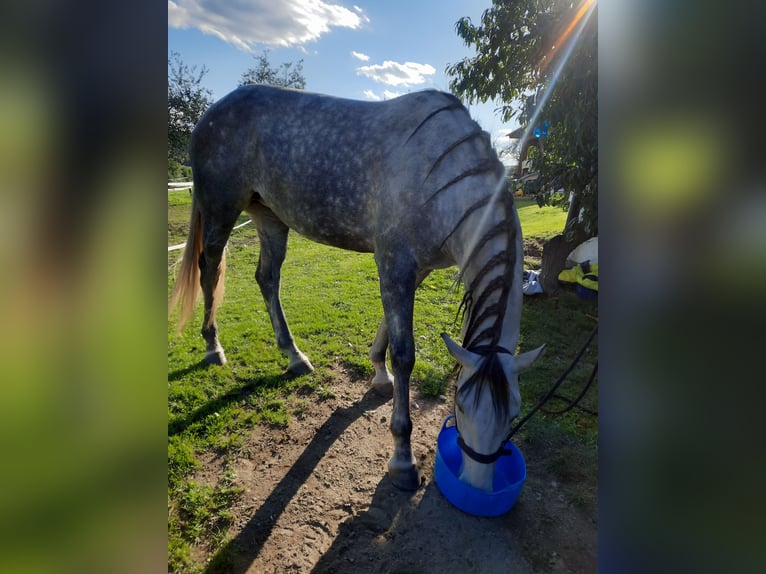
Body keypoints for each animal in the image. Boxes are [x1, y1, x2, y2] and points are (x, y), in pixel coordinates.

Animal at [172, 84, 548, 490]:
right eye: (460, 405)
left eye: (514, 413)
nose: (477, 484)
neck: (441, 176)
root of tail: (211, 113)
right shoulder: (395, 264)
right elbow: (405, 354)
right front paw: (402, 458)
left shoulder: (414, 270)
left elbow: (388, 328)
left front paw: (379, 375)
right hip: (220, 211)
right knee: (209, 271)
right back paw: (213, 346)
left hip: (268, 215)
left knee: (267, 278)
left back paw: (294, 355)